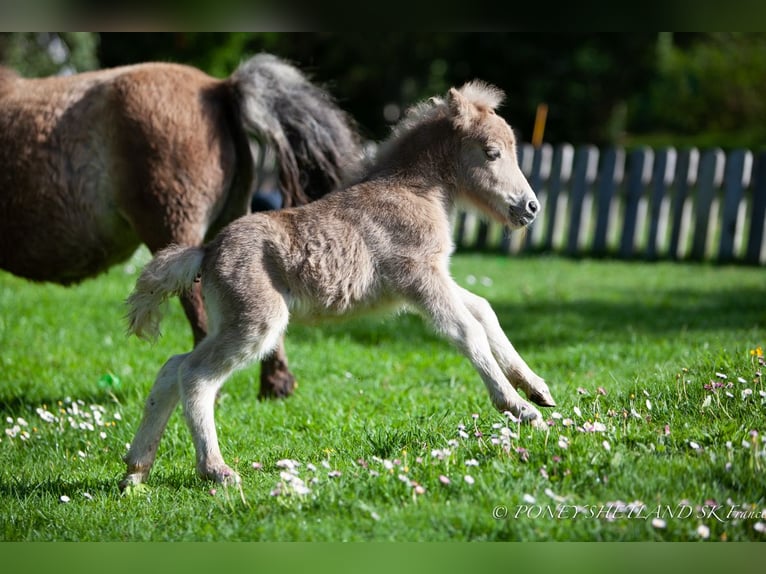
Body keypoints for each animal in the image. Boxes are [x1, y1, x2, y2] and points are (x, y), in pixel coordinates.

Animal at [120, 81, 560, 490]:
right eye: (491, 152)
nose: (531, 207)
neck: (414, 192)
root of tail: (207, 250)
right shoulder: (420, 278)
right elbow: (467, 331)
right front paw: (521, 409)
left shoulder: (434, 280)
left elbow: (484, 309)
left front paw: (537, 389)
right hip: (255, 322)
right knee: (195, 375)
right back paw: (216, 470)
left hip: (226, 320)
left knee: (172, 367)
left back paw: (135, 471)